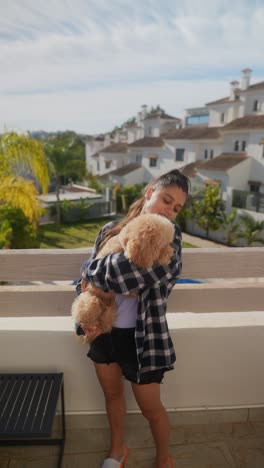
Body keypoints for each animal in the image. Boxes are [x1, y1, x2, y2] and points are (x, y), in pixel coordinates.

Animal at [71, 214, 174, 342]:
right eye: (163, 245)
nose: (172, 254)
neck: (122, 244)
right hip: (90, 302)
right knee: (88, 317)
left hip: (111, 308)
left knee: (105, 322)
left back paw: (102, 326)